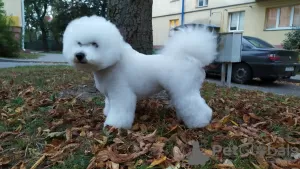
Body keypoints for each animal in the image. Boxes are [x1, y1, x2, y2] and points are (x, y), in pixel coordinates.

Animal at [62, 15, 218, 129]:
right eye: (79, 43)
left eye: (95, 44)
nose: (79, 55)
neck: (114, 62)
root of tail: (190, 58)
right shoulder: (110, 94)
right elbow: (109, 105)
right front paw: (107, 114)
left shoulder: (122, 93)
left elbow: (120, 110)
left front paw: (114, 125)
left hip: (185, 89)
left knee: (196, 106)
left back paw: (200, 122)